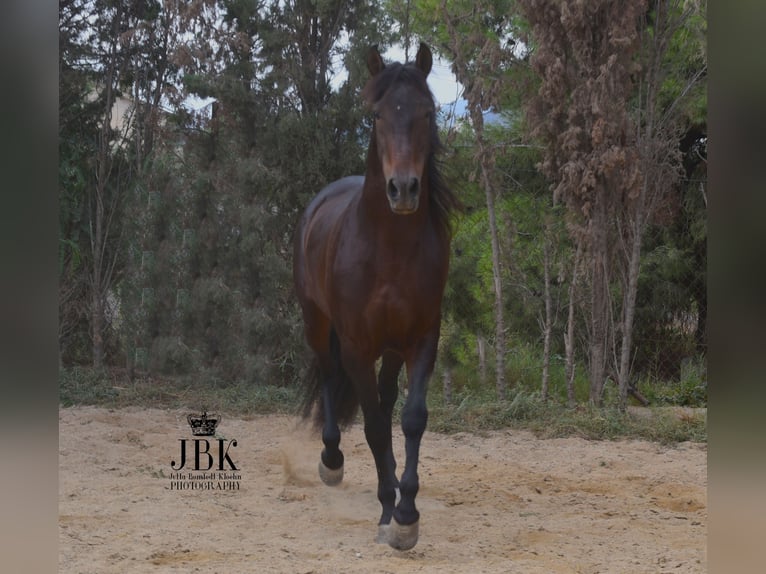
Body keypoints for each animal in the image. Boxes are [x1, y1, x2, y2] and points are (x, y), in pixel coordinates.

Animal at [294, 42, 462, 552]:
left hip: (390, 349)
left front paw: (406, 514)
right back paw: (332, 460)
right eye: (377, 115)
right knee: (331, 378)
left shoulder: (422, 339)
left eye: (427, 113)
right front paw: (390, 510)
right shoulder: (356, 345)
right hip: (318, 326)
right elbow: (370, 423)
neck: (389, 250)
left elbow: (410, 419)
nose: (403, 189)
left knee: (387, 405)